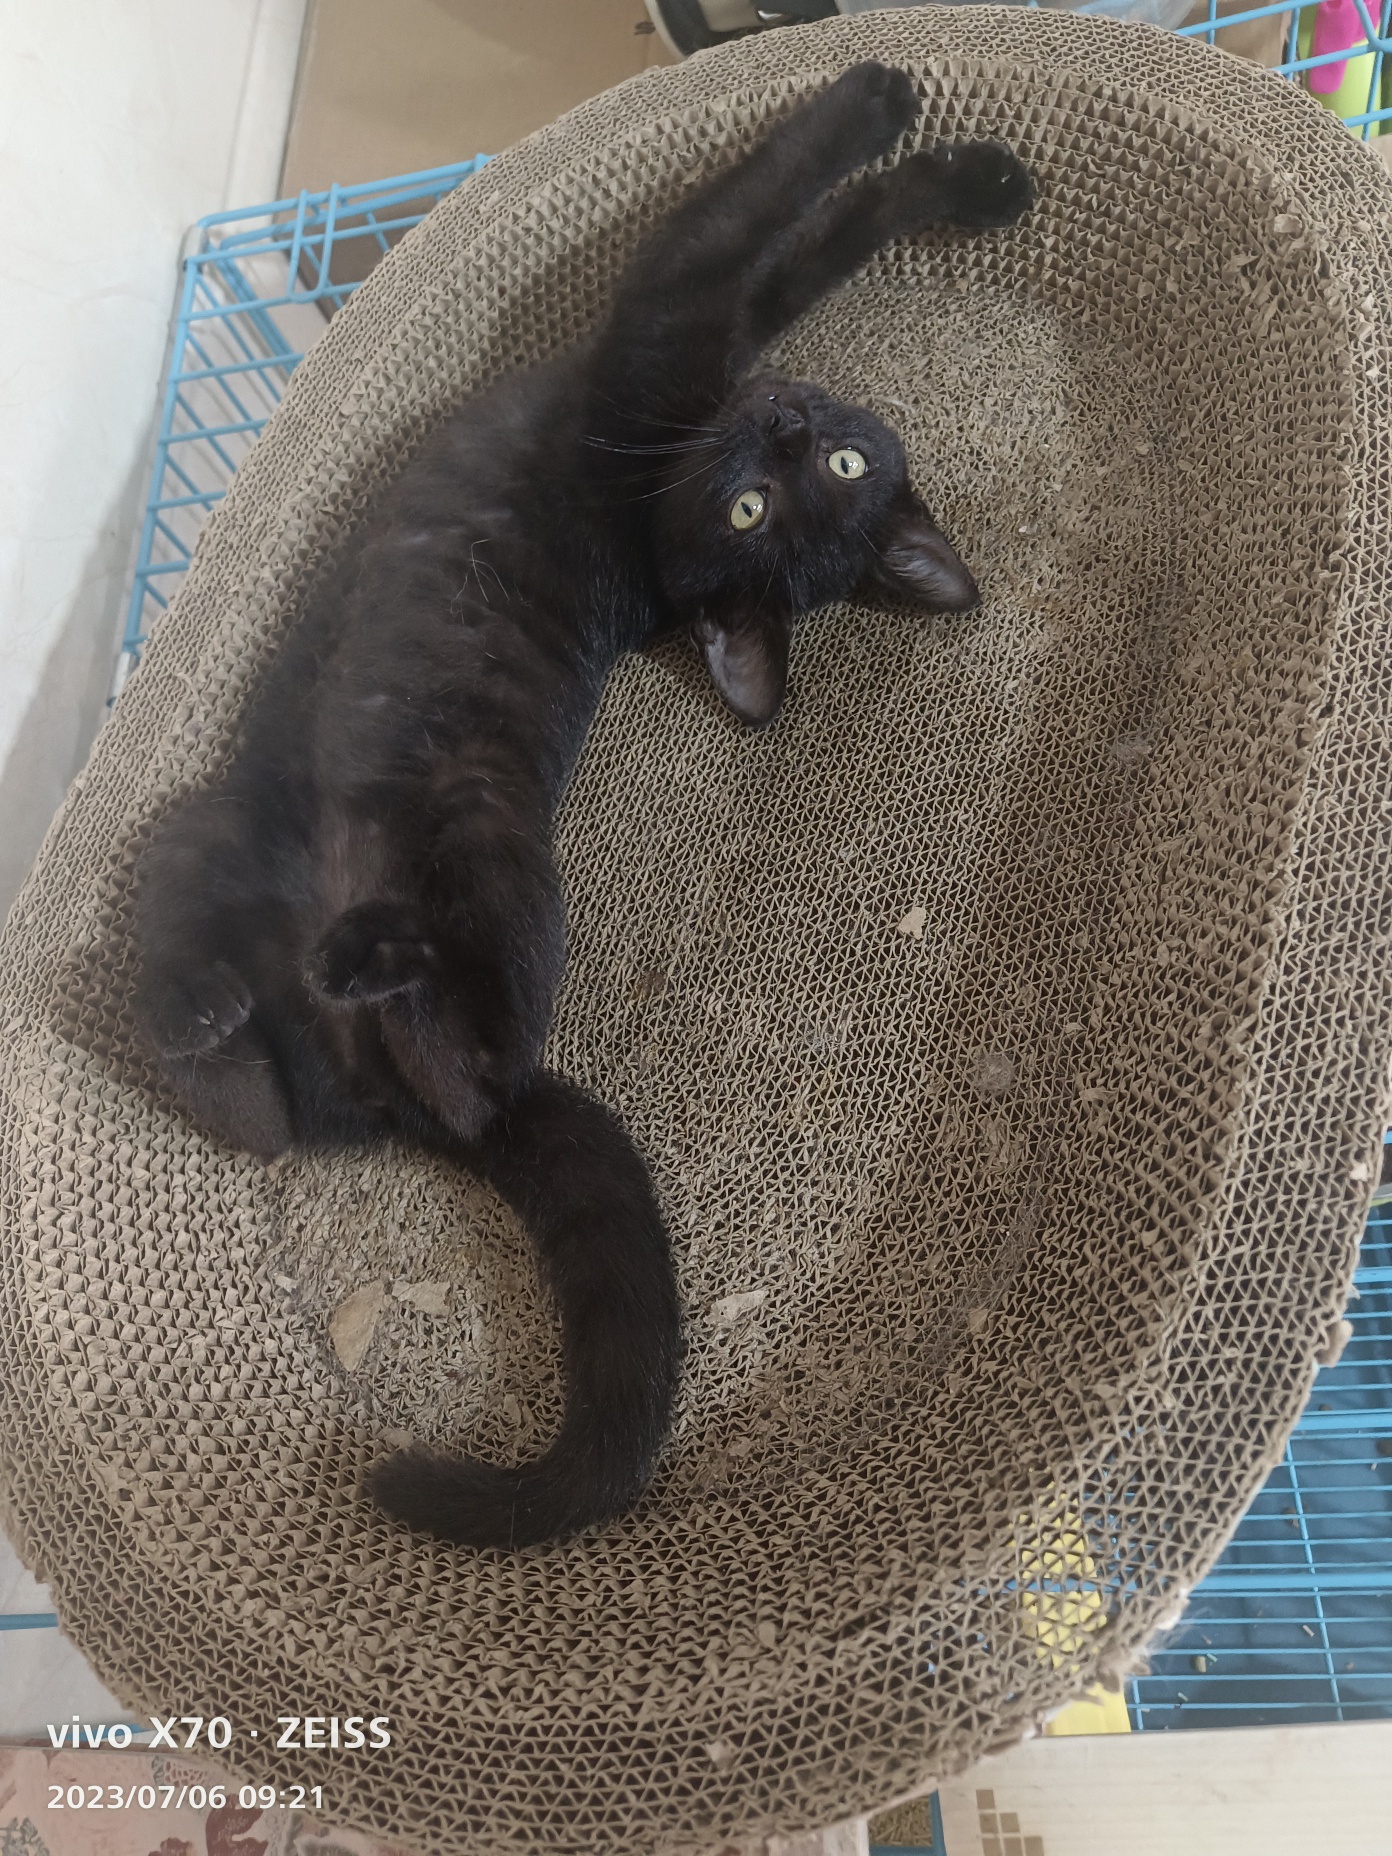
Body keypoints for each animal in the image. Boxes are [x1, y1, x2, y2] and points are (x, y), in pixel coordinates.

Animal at [131, 61, 1033, 1551]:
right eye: (781, 495)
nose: (797, 431)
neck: (670, 500)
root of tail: (369, 1090)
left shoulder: (668, 311)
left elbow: (760, 201)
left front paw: (873, 93)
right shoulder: (710, 341)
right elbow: (817, 243)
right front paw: (969, 177)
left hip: (487, 867)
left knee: (461, 1067)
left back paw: (361, 965)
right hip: (210, 830)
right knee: (256, 1095)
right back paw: (220, 1031)